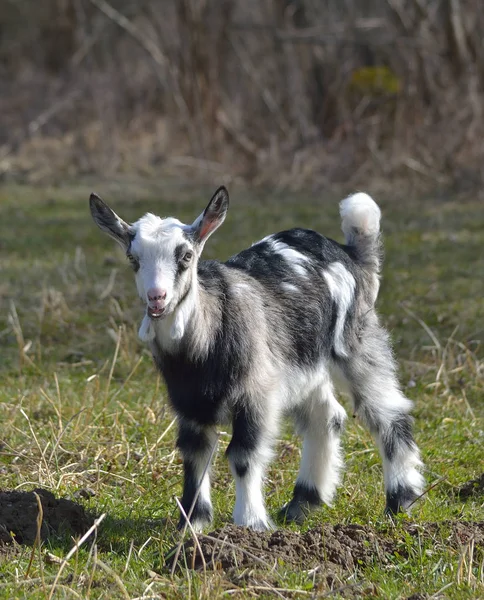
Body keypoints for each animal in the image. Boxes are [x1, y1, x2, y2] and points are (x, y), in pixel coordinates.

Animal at [91, 186, 424, 528]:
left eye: (185, 256)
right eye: (133, 258)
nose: (157, 298)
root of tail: (351, 253)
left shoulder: (256, 393)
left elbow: (243, 455)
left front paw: (250, 523)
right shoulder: (188, 403)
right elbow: (195, 453)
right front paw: (193, 523)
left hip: (355, 343)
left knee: (388, 412)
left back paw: (400, 499)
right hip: (302, 365)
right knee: (326, 417)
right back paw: (302, 503)